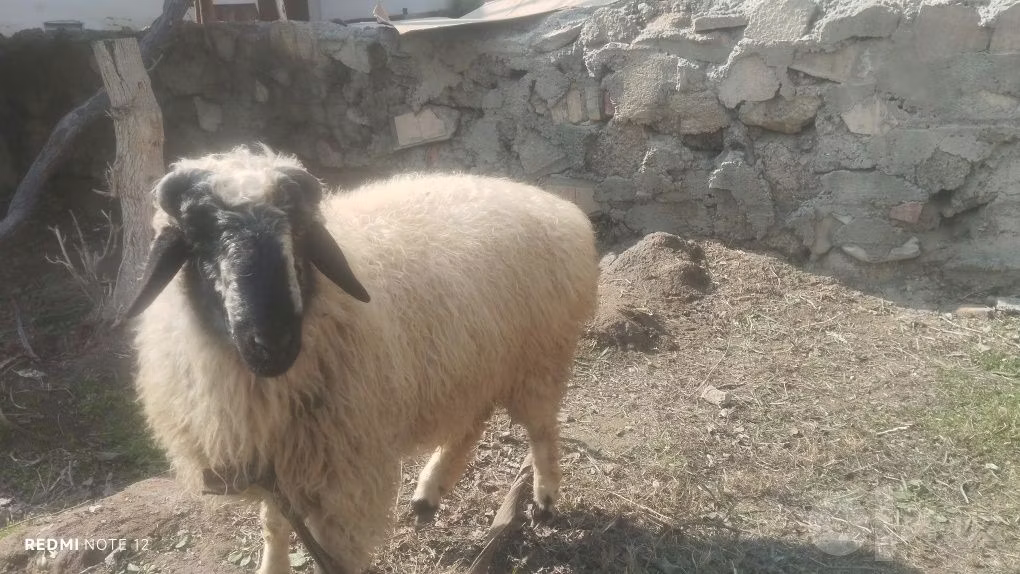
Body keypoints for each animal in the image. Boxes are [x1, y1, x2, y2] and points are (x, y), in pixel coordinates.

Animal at [125, 144, 600, 573]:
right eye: (200, 238)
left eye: (298, 235)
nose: (273, 342)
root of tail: (558, 207)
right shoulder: (282, 464)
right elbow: (275, 525)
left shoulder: (344, 477)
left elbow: (337, 557)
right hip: (476, 363)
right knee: (471, 424)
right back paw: (429, 493)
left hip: (540, 357)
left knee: (541, 430)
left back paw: (544, 500)